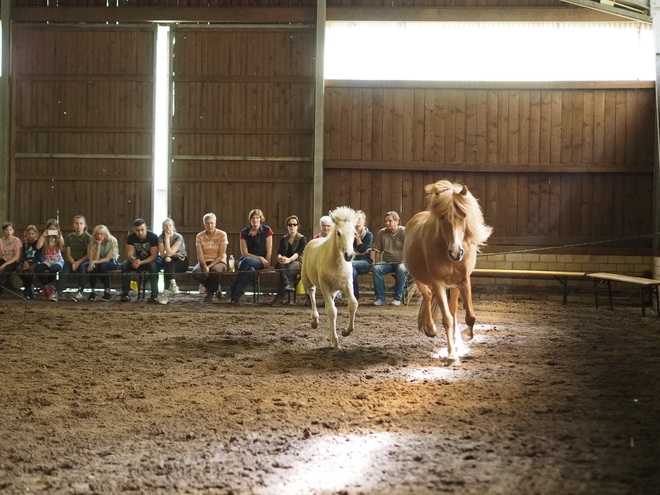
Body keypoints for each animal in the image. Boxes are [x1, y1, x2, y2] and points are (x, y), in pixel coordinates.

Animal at [302, 205, 358, 348]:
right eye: (338, 233)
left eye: (354, 233)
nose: (349, 255)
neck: (336, 263)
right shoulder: (325, 286)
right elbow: (332, 311)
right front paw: (336, 342)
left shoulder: (347, 284)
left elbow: (353, 304)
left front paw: (346, 331)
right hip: (307, 280)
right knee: (312, 294)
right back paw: (314, 321)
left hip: (334, 291)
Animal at [402, 180, 490, 366]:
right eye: (442, 217)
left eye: (463, 215)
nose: (456, 253)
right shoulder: (438, 283)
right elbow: (447, 319)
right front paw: (452, 356)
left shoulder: (464, 281)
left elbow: (470, 316)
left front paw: (466, 336)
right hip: (420, 279)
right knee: (428, 296)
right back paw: (430, 328)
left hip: (455, 286)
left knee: (453, 309)